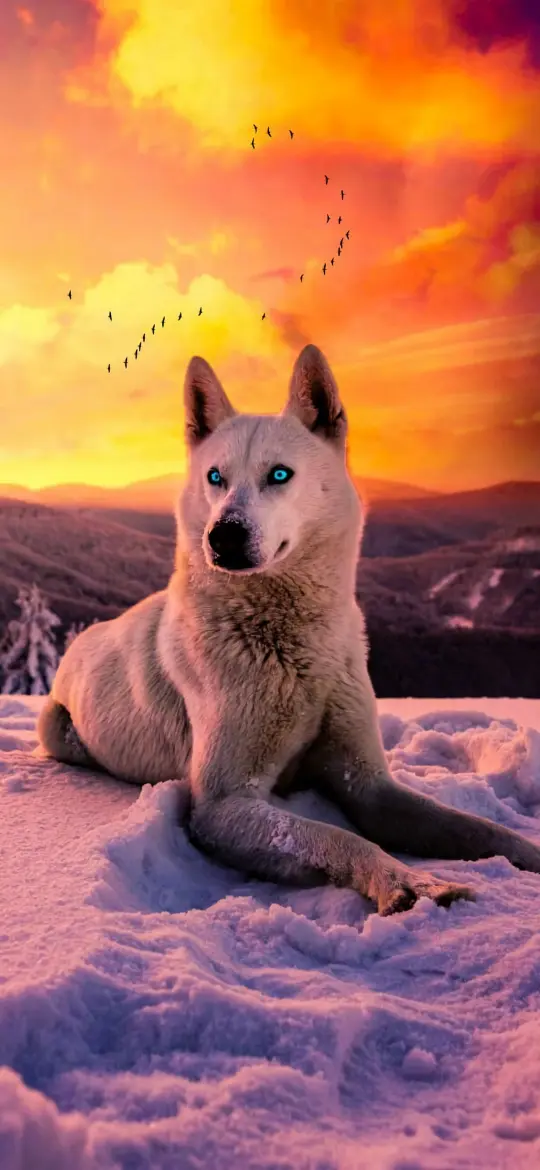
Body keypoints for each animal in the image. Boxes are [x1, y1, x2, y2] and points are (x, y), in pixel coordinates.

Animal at [37, 344, 540, 915]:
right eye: (215, 477)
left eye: (279, 475)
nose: (222, 536)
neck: (295, 648)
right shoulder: (223, 803)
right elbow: (339, 837)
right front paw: (409, 883)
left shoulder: (369, 784)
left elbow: (476, 829)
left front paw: (523, 854)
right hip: (57, 730)